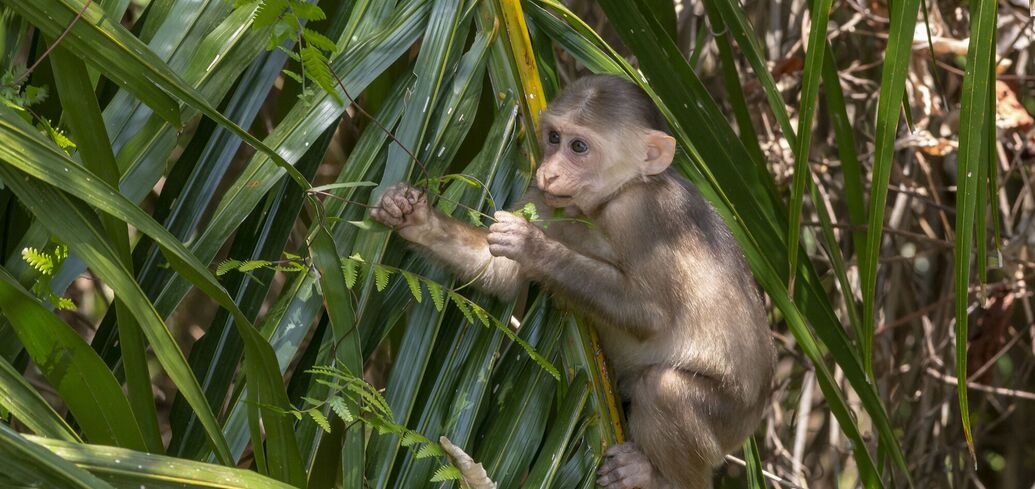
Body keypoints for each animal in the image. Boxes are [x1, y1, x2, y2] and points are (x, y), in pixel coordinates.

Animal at [368, 74, 774, 486]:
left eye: (579, 146)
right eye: (553, 138)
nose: (549, 171)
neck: (609, 200)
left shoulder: (645, 214)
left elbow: (651, 314)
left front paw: (533, 246)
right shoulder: (544, 198)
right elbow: (500, 274)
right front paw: (413, 217)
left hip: (727, 420)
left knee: (666, 389)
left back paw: (659, 477)